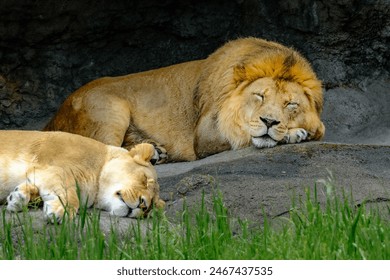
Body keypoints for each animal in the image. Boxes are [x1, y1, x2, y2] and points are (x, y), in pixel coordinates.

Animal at [0, 130, 165, 222]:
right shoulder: (53, 167)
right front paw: (61, 212)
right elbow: (71, 194)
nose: (143, 206)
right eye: (144, 180)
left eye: (151, 206)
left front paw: (17, 198)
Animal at [45, 37, 326, 164]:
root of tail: (52, 119)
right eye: (259, 96)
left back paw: (154, 151)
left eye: (291, 104)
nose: (269, 121)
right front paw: (294, 134)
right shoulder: (205, 135)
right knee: (103, 151)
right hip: (110, 111)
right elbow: (244, 132)